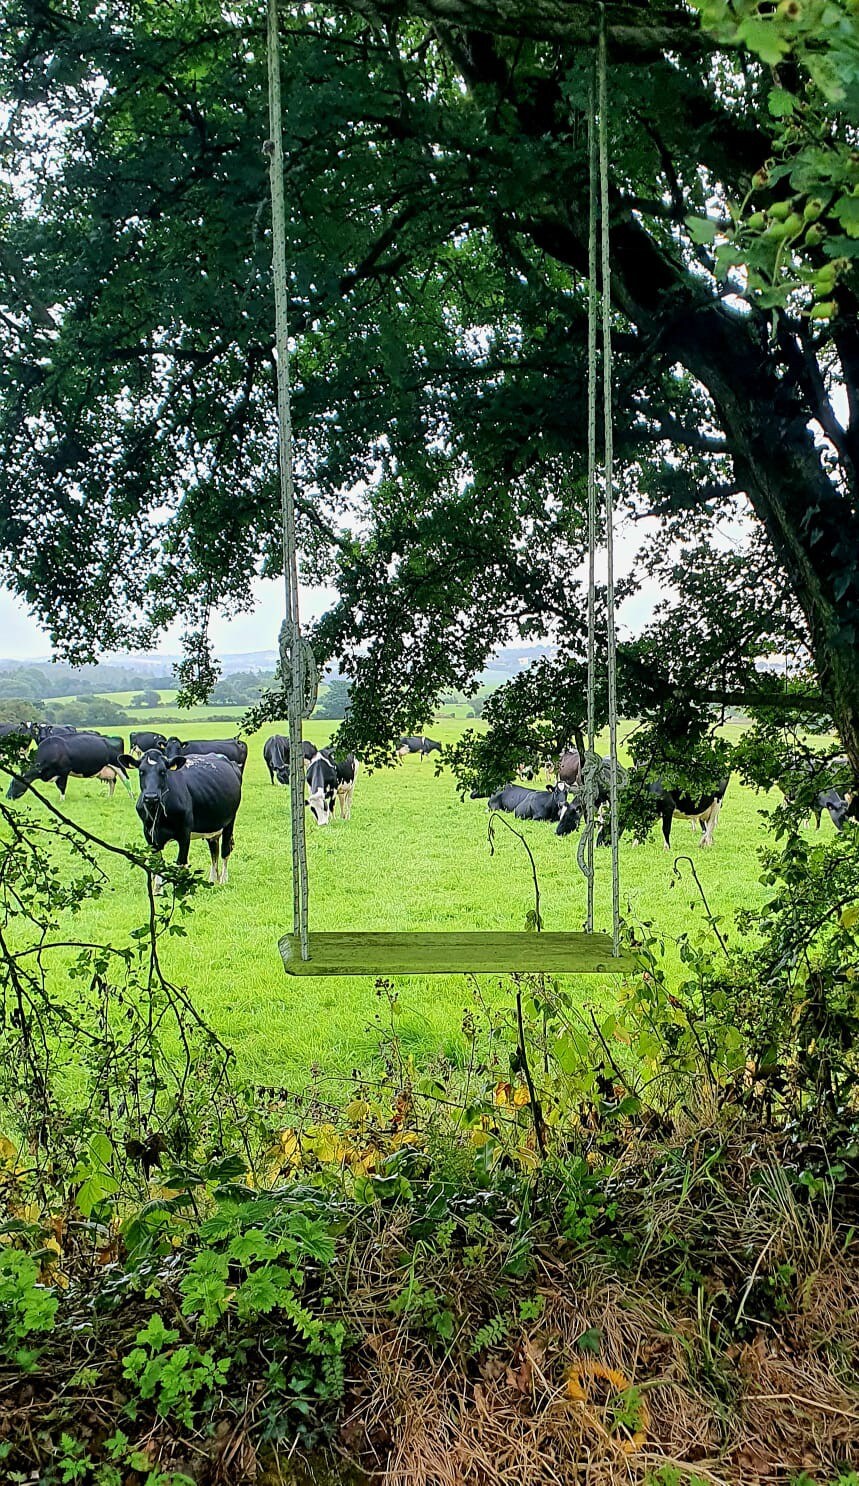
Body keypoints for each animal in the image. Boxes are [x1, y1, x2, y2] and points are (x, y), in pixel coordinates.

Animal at [118, 748, 242, 885]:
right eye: (141, 771)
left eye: (163, 771)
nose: (151, 796)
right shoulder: (149, 835)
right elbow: (157, 866)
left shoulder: (184, 833)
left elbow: (181, 864)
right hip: (213, 824)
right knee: (214, 849)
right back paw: (213, 880)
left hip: (230, 820)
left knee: (225, 850)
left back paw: (223, 880)